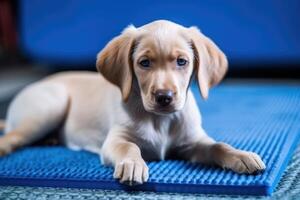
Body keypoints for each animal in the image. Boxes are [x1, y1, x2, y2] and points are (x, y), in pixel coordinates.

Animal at [0, 20, 264, 186]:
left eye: (182, 61)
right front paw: (133, 164)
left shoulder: (194, 142)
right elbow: (129, 147)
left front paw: (241, 155)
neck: (161, 120)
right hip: (50, 107)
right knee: (13, 136)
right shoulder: (114, 140)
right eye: (144, 63)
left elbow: (218, 145)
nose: (164, 97)